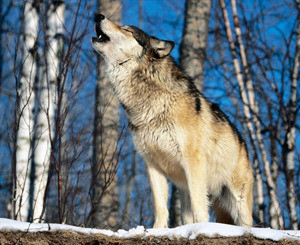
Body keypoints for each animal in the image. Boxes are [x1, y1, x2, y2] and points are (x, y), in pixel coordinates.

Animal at [91, 13, 253, 228]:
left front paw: (200, 228)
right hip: (186, 192)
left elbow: (199, 206)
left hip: (238, 201)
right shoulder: (152, 165)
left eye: (127, 29)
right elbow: (160, 206)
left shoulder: (193, 161)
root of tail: (243, 143)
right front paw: (156, 230)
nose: (98, 15)